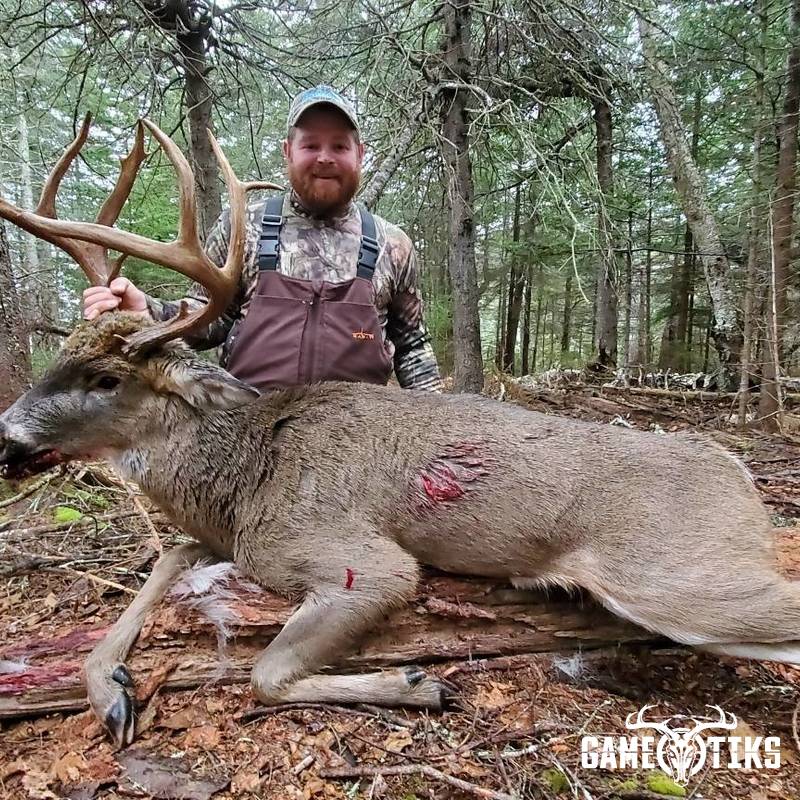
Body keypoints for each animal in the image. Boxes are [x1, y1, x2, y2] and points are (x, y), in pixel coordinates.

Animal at [1, 119, 799, 750]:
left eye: (107, 380)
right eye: (64, 353)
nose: (7, 433)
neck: (242, 473)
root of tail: (739, 475)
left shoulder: (358, 559)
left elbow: (266, 672)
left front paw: (418, 683)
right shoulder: (216, 538)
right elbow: (162, 565)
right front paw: (111, 692)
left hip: (670, 575)